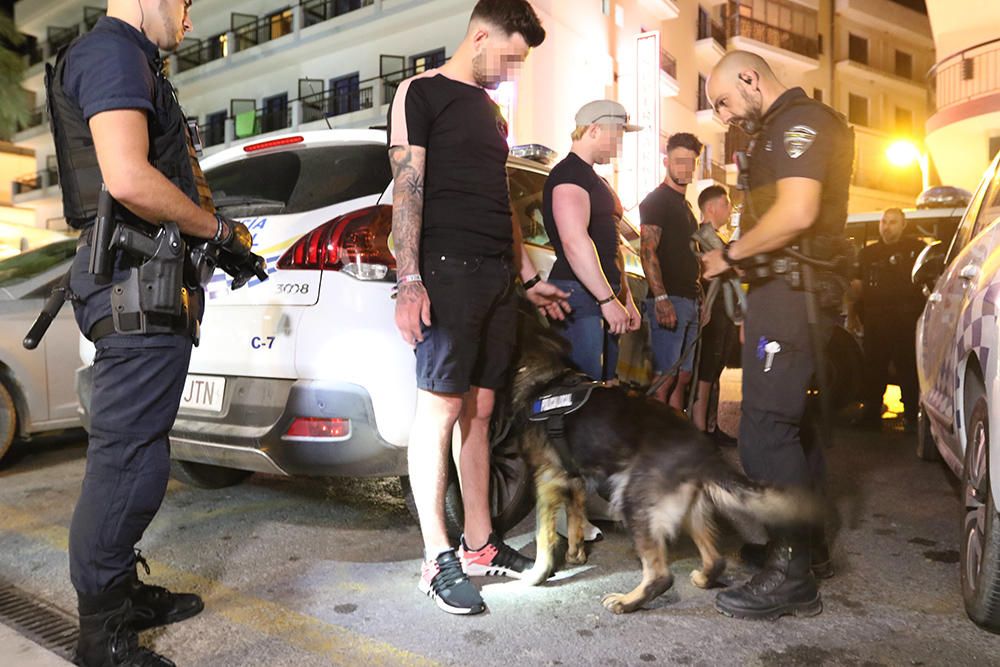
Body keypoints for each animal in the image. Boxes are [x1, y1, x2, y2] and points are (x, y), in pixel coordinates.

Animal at [508, 306, 820, 612]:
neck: (547, 377)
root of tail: (702, 448)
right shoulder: (574, 480)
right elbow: (574, 517)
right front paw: (576, 553)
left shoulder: (546, 481)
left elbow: (543, 536)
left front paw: (536, 575)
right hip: (688, 505)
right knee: (715, 559)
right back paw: (704, 578)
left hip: (633, 500)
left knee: (661, 576)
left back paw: (627, 601)